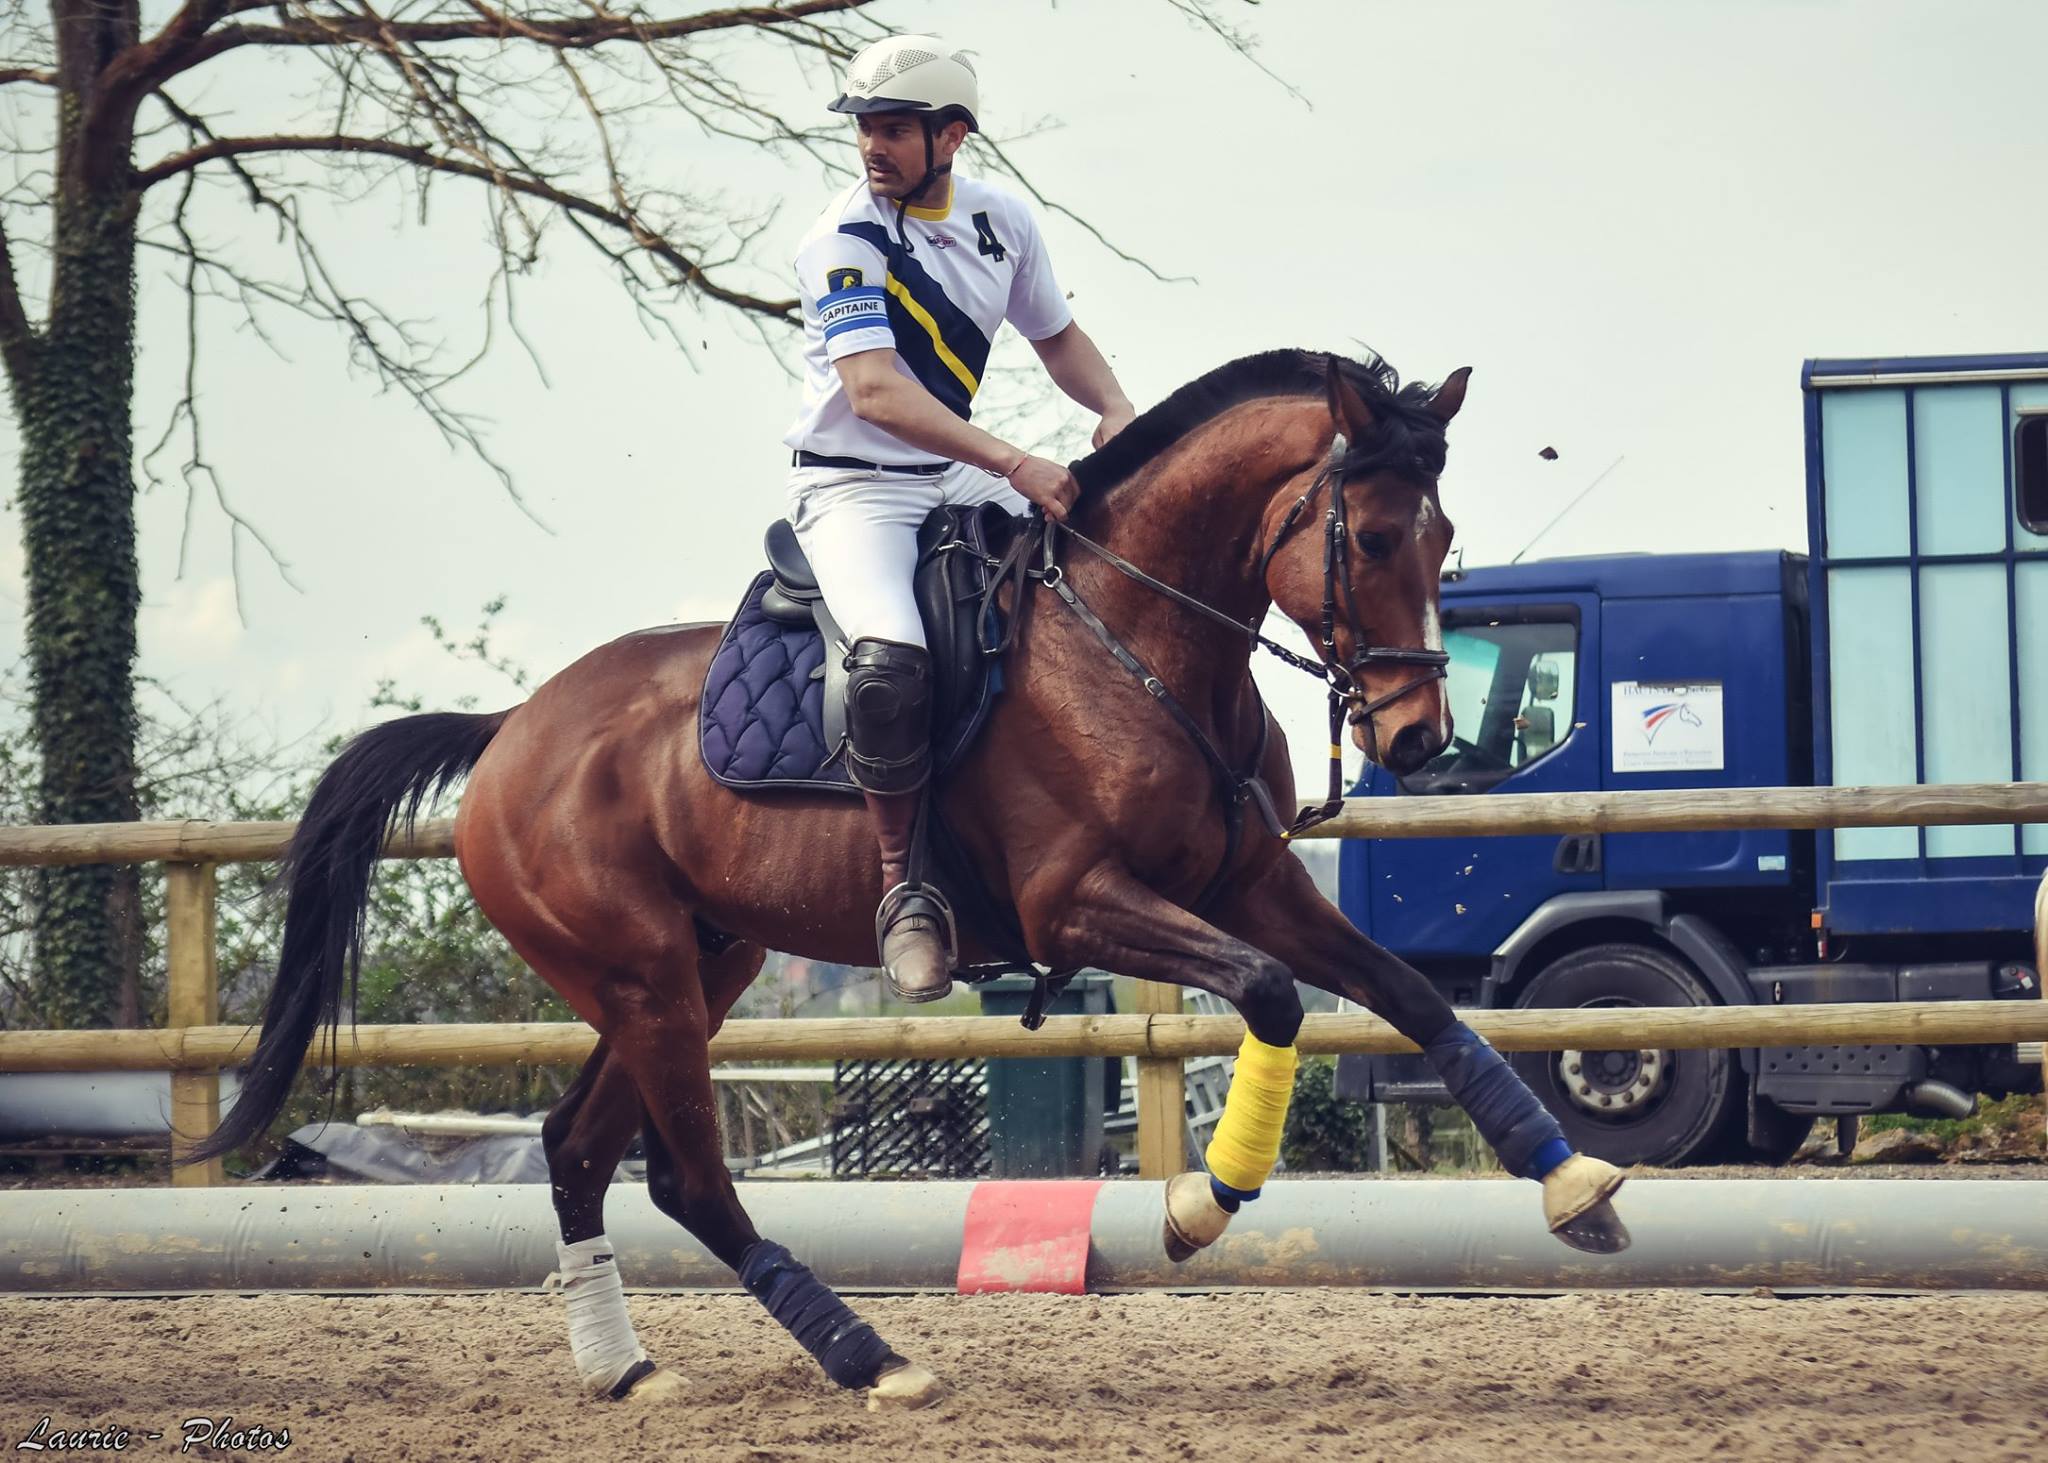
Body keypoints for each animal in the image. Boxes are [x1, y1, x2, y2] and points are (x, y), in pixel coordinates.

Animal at [195, 348, 1630, 1409]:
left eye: (1443, 534)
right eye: (1375, 535)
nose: (1418, 738)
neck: (1141, 640)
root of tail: (510, 731)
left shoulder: (1250, 881)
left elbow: (1409, 996)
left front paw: (1568, 1180)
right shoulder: (1080, 901)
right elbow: (1273, 993)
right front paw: (1195, 1204)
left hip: (694, 965)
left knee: (577, 1148)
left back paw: (627, 1370)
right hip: (646, 975)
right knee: (687, 1179)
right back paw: (871, 1357)